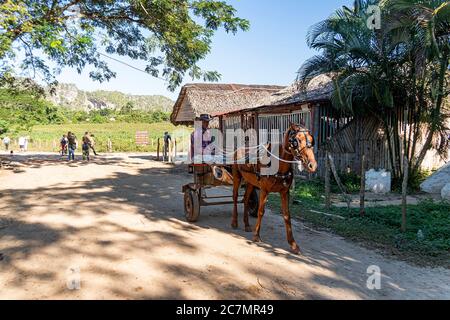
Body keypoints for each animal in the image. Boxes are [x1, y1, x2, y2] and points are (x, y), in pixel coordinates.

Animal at [232, 124, 320, 254]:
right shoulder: (264, 190)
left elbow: (287, 215)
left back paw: (247, 225)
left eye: (311, 139)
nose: (312, 165)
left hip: (250, 182)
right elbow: (261, 211)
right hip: (237, 177)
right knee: (234, 197)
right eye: (297, 140)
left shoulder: (284, 192)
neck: (278, 166)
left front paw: (293, 244)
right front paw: (256, 236)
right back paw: (234, 222)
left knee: (246, 199)